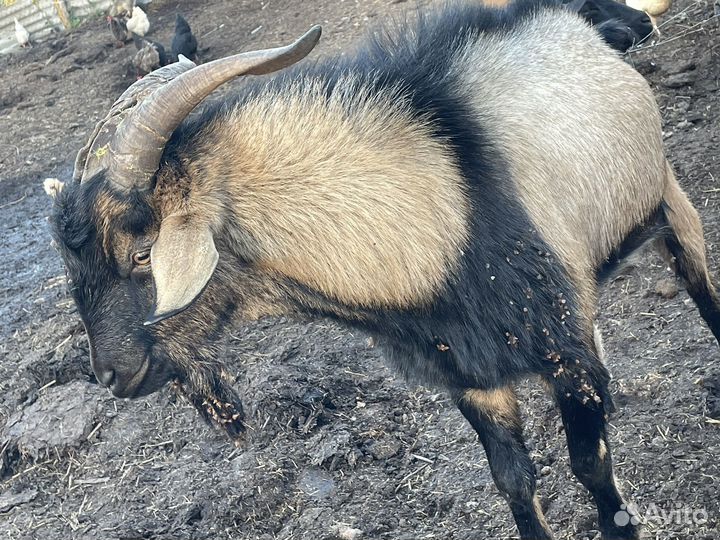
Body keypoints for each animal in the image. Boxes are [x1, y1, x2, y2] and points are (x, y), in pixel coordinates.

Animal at [47, 1, 720, 538]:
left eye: (142, 253)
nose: (110, 375)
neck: (444, 204)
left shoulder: (567, 353)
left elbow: (589, 464)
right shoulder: (469, 374)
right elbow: (512, 480)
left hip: (667, 196)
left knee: (700, 285)